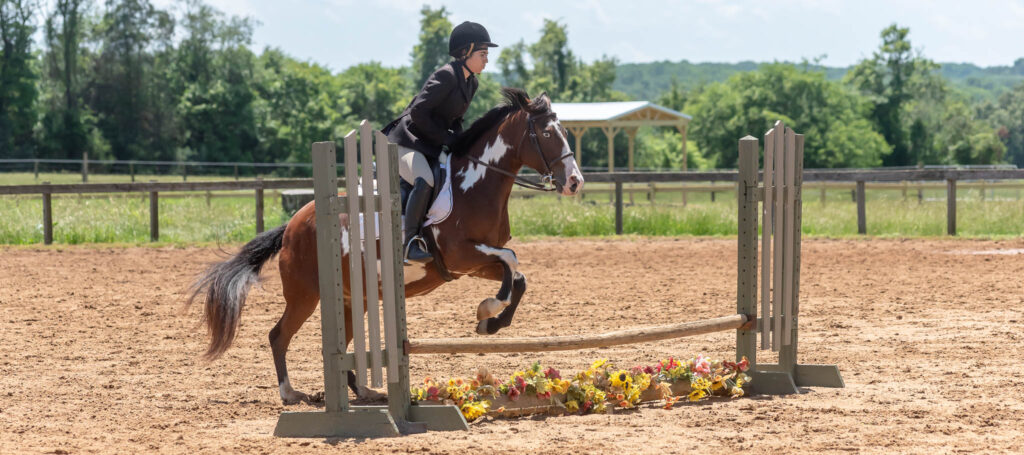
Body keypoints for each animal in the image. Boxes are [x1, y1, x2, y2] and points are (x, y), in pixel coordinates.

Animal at [187, 88, 584, 404]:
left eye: (566, 132)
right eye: (547, 133)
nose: (575, 183)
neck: (476, 182)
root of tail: (293, 224)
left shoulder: (470, 265)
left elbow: (517, 276)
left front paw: (490, 323)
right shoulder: (461, 254)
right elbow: (510, 262)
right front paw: (488, 310)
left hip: (352, 299)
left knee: (344, 343)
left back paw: (363, 389)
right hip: (306, 295)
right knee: (278, 335)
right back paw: (291, 393)